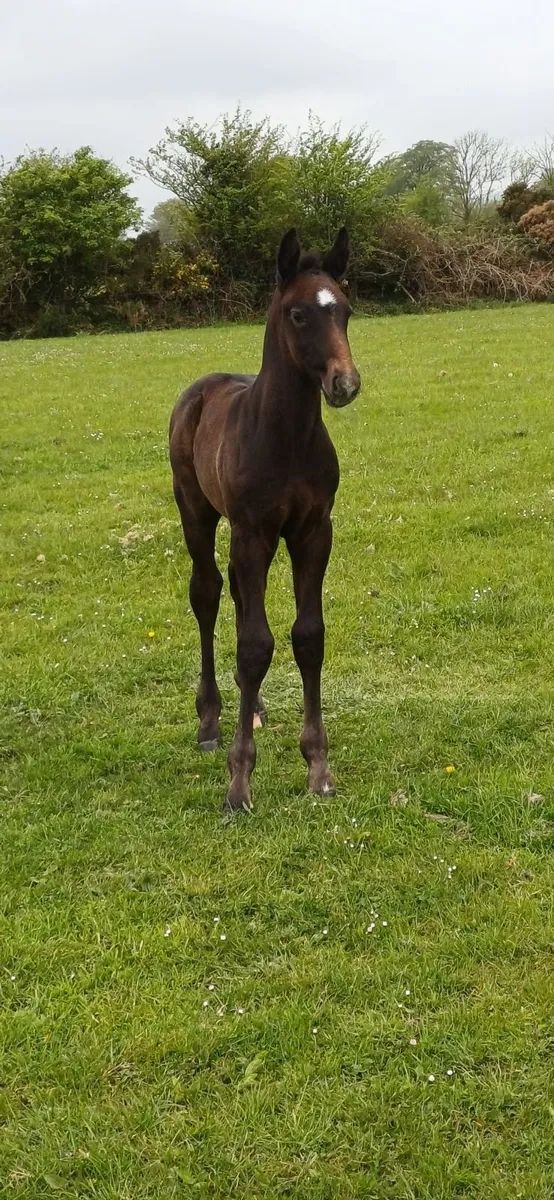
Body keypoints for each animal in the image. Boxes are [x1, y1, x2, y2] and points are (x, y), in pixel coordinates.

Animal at [169, 226, 361, 813]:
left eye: (344, 310)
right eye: (298, 314)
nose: (346, 384)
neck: (287, 437)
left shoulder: (313, 531)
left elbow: (307, 636)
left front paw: (318, 768)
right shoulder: (252, 533)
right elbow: (256, 644)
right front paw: (239, 783)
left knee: (234, 596)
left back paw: (249, 708)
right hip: (197, 513)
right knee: (208, 595)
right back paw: (210, 721)